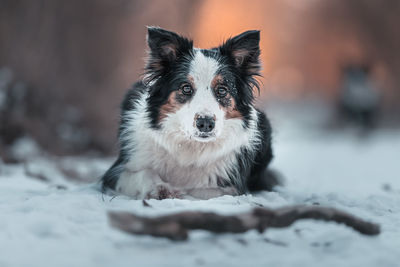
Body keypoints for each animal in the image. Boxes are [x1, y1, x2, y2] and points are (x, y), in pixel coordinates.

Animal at [101, 27, 276, 200]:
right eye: (186, 88)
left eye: (222, 90)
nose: (205, 123)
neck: (190, 147)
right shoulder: (114, 174)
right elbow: (143, 174)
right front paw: (160, 188)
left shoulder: (232, 186)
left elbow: (205, 190)